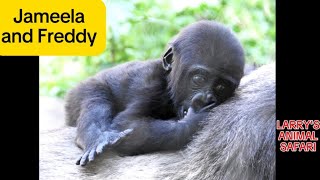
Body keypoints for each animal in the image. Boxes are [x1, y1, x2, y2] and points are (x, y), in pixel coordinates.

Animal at [65, 20, 245, 166]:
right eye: (198, 79)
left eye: (221, 87)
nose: (206, 98)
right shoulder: (150, 85)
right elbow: (128, 123)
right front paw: (195, 119)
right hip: (81, 91)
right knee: (95, 100)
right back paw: (96, 138)